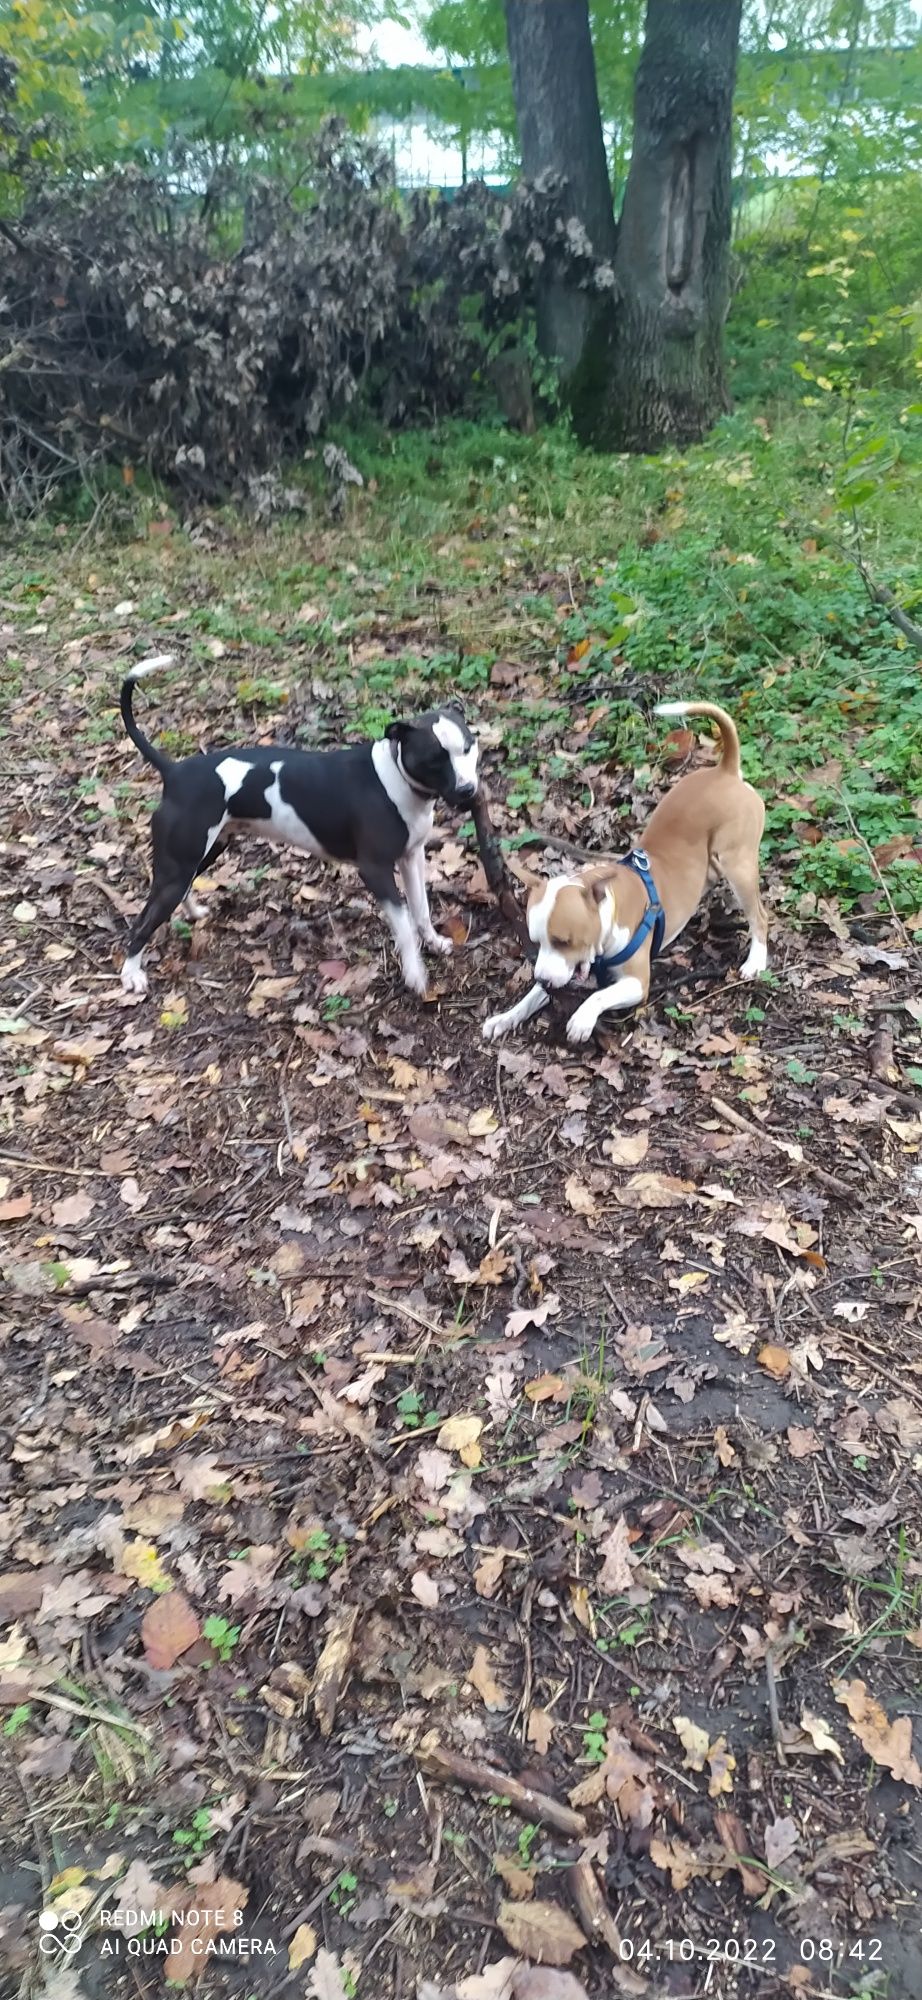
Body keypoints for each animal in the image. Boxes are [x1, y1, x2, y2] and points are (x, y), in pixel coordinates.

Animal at [118, 656, 478, 1000]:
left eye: (468, 748)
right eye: (434, 760)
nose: (468, 790)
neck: (397, 777)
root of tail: (174, 771)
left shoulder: (412, 857)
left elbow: (421, 908)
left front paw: (433, 941)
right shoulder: (375, 870)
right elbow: (403, 922)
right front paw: (415, 973)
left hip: (206, 851)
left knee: (184, 886)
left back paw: (191, 912)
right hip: (177, 867)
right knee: (142, 922)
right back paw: (131, 973)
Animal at [486, 700, 764, 1048]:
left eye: (564, 940)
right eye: (536, 942)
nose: (544, 979)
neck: (609, 912)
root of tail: (725, 770)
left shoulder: (637, 983)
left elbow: (598, 995)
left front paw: (582, 1019)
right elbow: (531, 997)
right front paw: (505, 1017)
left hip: (738, 865)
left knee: (760, 916)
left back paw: (756, 961)